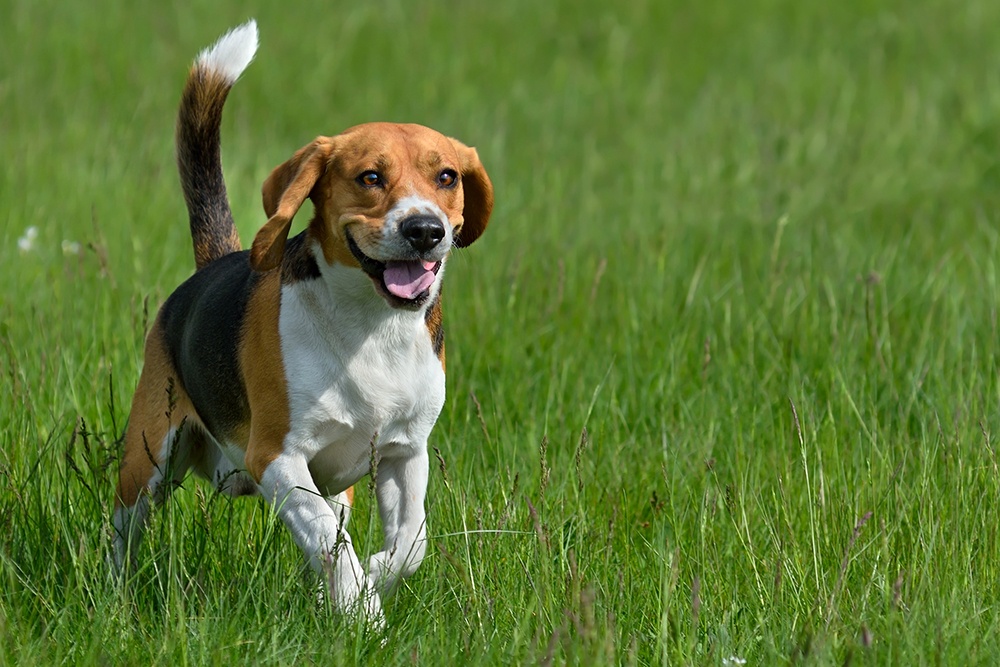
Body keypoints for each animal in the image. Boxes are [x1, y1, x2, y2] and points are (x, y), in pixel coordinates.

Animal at [112, 20, 492, 628]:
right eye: (370, 177)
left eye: (447, 176)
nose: (425, 229)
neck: (373, 326)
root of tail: (215, 262)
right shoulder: (277, 456)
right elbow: (330, 544)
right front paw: (362, 610)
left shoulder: (407, 452)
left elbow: (408, 543)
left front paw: (370, 578)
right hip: (146, 459)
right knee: (122, 538)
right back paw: (115, 600)